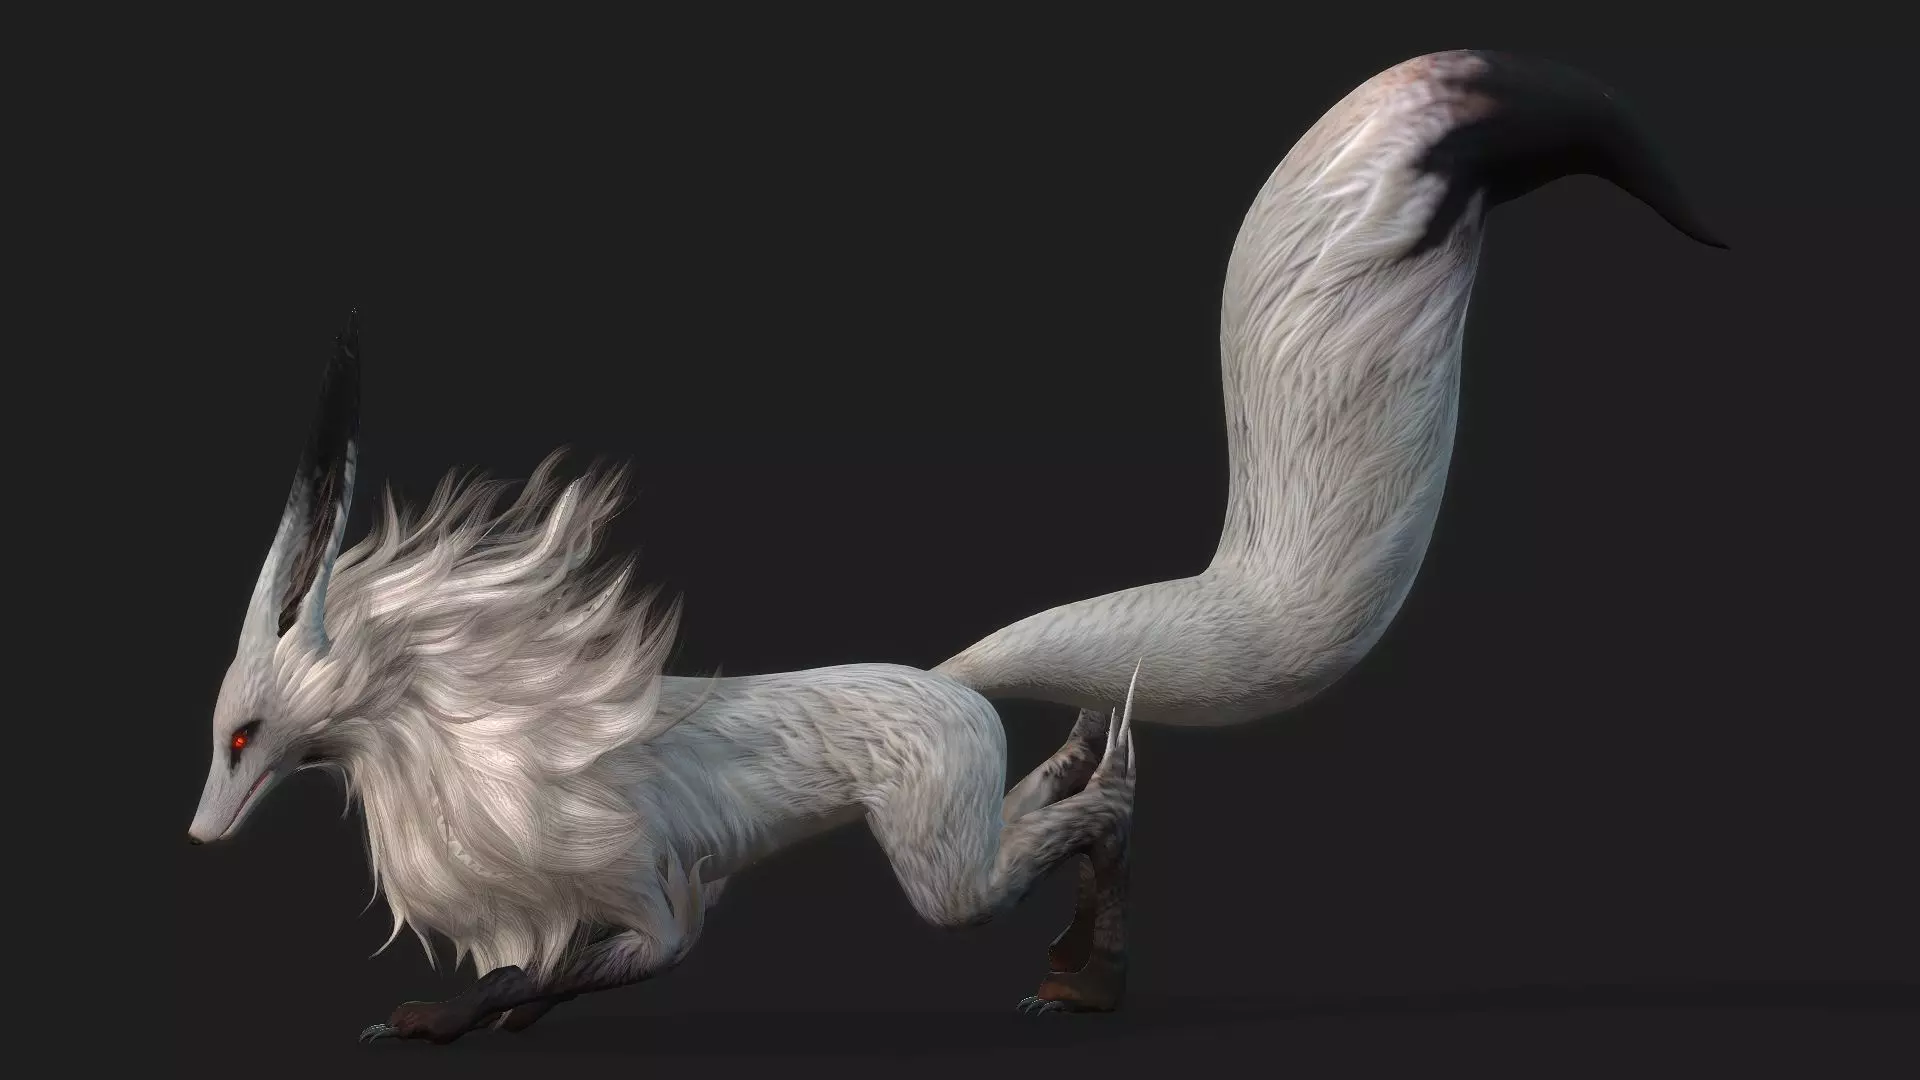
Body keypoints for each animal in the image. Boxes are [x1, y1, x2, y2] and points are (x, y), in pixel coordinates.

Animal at [186, 312, 1141, 1043]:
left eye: (242, 736)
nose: (200, 835)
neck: (481, 736)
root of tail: (952, 684)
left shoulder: (638, 883)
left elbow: (578, 967)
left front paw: (434, 1020)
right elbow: (543, 970)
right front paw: (483, 1017)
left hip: (941, 863)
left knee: (1094, 819)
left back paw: (1087, 964)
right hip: (958, 820)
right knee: (1042, 800)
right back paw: (1085, 772)